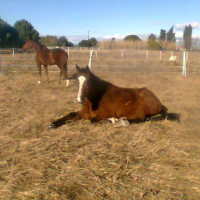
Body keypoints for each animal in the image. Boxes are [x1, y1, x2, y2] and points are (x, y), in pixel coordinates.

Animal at [49, 65, 179, 129]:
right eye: (76, 80)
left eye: (88, 81)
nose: (79, 99)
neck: (95, 98)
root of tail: (158, 102)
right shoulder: (85, 112)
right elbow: (70, 114)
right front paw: (53, 124)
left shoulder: (104, 113)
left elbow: (93, 120)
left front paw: (111, 120)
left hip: (143, 109)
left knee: (141, 118)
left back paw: (120, 121)